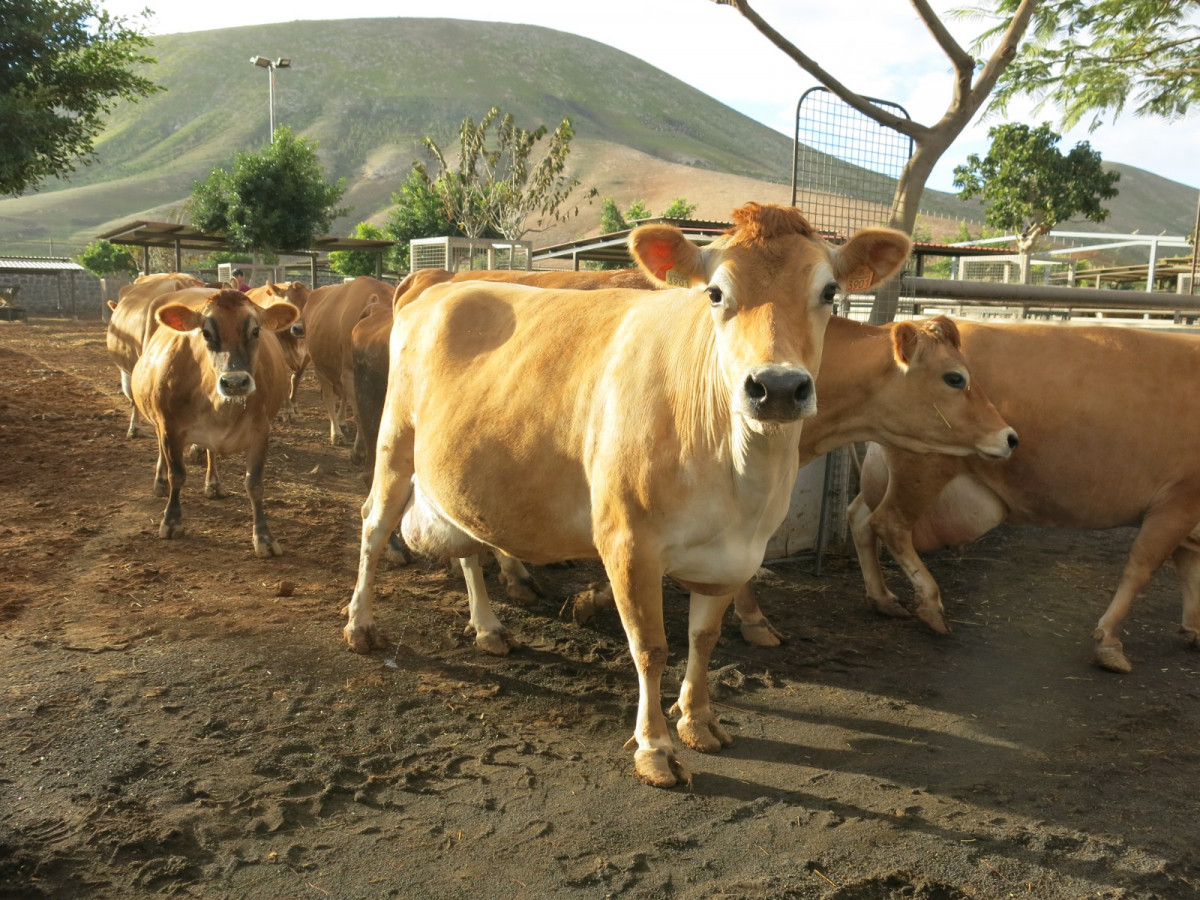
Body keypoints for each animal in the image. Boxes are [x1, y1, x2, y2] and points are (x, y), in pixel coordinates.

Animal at [129, 289, 300, 556]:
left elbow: (254, 483)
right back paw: (160, 480)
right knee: (161, 450)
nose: (235, 382)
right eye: (206, 333)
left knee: (210, 452)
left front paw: (263, 536)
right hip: (156, 419)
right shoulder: (170, 427)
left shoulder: (261, 431)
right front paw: (172, 521)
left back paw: (213, 484)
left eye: (255, 331)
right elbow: (177, 474)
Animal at [844, 321, 1200, 672]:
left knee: (859, 516)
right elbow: (1142, 569)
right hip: (923, 467)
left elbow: (1190, 571)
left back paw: (883, 597)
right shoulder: (1179, 501)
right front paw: (1109, 642)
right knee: (889, 523)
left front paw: (1193, 628)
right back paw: (930, 605)